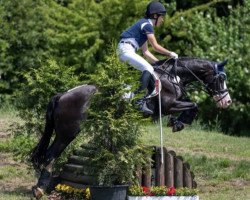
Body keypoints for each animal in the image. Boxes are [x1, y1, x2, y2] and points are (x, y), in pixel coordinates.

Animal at [30, 57, 231, 199]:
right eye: (221, 79)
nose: (226, 102)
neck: (173, 77)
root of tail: (63, 95)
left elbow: (193, 105)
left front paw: (177, 122)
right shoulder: (169, 105)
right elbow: (194, 105)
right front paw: (179, 123)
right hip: (68, 131)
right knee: (51, 154)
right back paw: (40, 189)